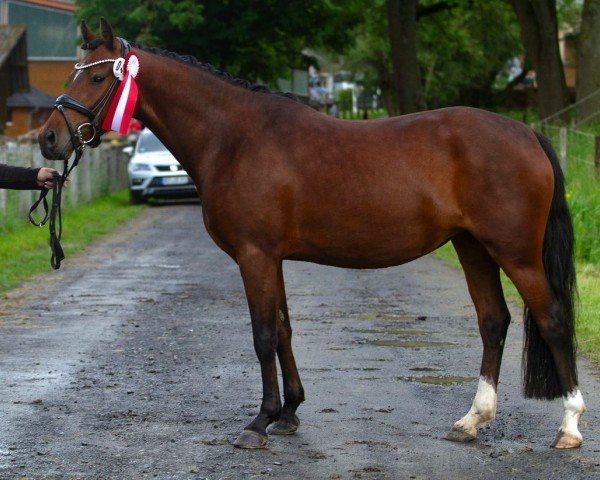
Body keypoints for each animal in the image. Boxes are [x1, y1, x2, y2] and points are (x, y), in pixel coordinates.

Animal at [38, 19, 584, 450]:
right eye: (72, 72)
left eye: (95, 76)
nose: (48, 138)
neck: (233, 138)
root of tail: (527, 132)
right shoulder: (272, 257)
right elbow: (283, 330)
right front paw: (289, 414)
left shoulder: (254, 255)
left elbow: (262, 335)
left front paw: (258, 423)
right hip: (473, 247)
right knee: (494, 322)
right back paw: (472, 421)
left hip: (516, 253)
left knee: (553, 320)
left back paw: (569, 427)